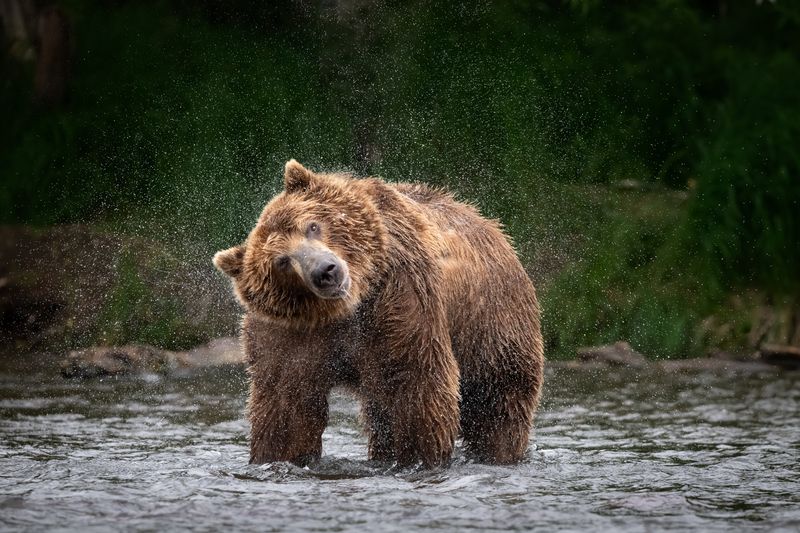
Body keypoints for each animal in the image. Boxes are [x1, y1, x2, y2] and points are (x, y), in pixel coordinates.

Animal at [213, 160, 544, 467]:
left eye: (312, 225)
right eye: (282, 261)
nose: (326, 271)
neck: (348, 308)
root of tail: (487, 222)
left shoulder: (399, 297)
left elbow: (416, 384)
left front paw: (419, 457)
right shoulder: (289, 334)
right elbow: (287, 406)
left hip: (492, 322)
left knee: (497, 403)